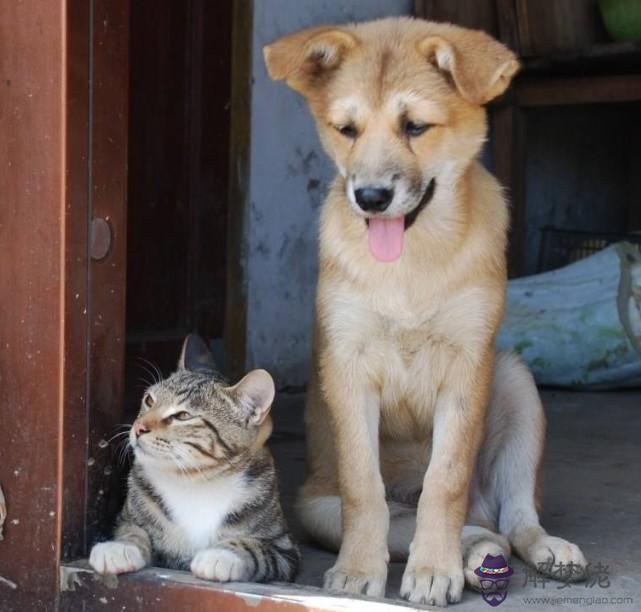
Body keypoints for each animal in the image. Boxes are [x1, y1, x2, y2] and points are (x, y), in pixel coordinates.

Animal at [89, 334, 298, 584]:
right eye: (149, 400)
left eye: (182, 416)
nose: (138, 427)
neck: (195, 480)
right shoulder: (128, 517)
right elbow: (131, 529)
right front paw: (119, 547)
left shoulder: (285, 549)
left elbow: (255, 548)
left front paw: (222, 555)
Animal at [264, 17, 584, 608]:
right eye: (346, 130)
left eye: (415, 126)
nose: (370, 197)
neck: (411, 261)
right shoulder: (349, 367)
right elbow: (364, 487)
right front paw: (357, 572)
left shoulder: (468, 364)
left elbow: (446, 477)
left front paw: (433, 569)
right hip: (318, 508)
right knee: (458, 527)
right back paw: (478, 559)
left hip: (514, 381)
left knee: (514, 516)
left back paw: (537, 550)